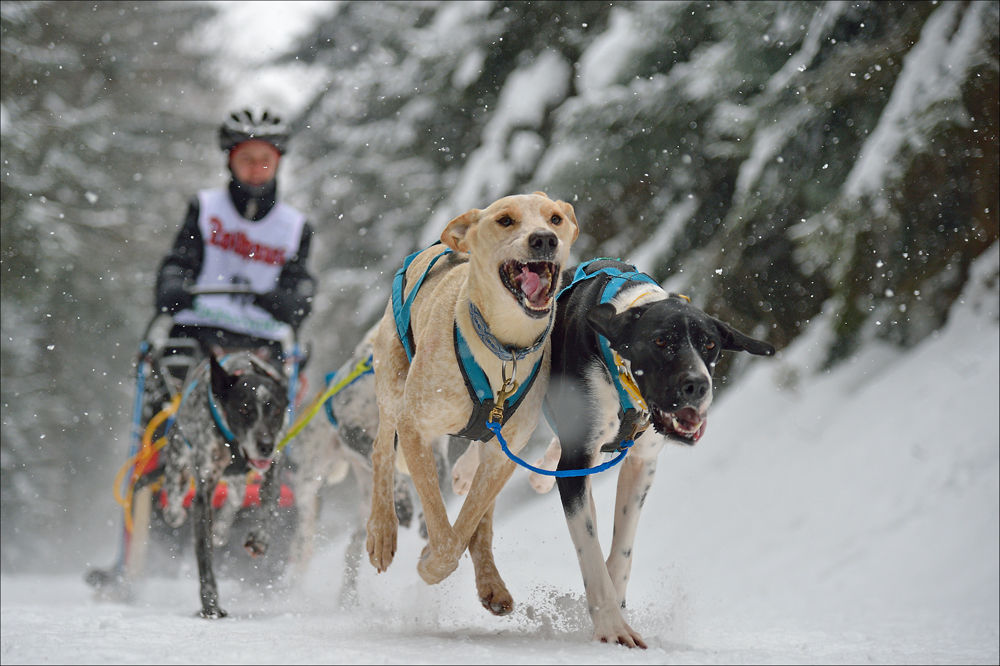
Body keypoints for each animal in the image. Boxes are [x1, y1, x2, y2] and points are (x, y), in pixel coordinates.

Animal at [160, 352, 292, 616]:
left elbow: (270, 501)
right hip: (178, 461)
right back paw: (176, 512)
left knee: (236, 497)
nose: (265, 445)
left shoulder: (275, 463)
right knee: (175, 496)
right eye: (244, 409)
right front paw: (210, 605)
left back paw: (221, 530)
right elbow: (204, 553)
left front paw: (260, 537)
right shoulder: (203, 492)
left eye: (276, 410)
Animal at [540, 258, 772, 644]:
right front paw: (612, 627)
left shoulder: (642, 463)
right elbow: (590, 551)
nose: (698, 385)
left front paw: (616, 602)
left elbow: (621, 549)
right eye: (661, 341)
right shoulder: (574, 465)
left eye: (710, 344)